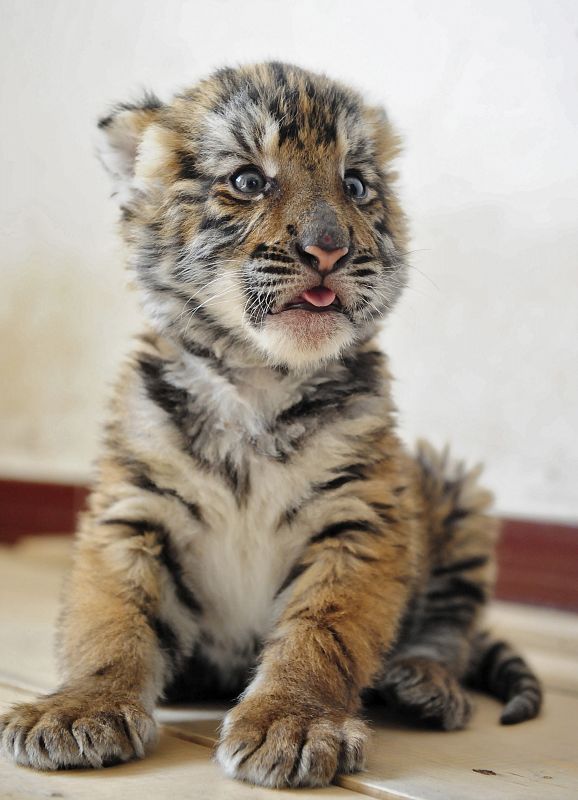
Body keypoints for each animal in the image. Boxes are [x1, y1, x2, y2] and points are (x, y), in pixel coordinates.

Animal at [0, 62, 541, 789]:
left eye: (355, 185)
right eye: (249, 180)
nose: (329, 249)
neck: (258, 377)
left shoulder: (357, 519)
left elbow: (321, 631)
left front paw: (294, 723)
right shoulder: (134, 511)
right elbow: (109, 620)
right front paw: (80, 708)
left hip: (456, 494)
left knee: (449, 629)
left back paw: (422, 684)